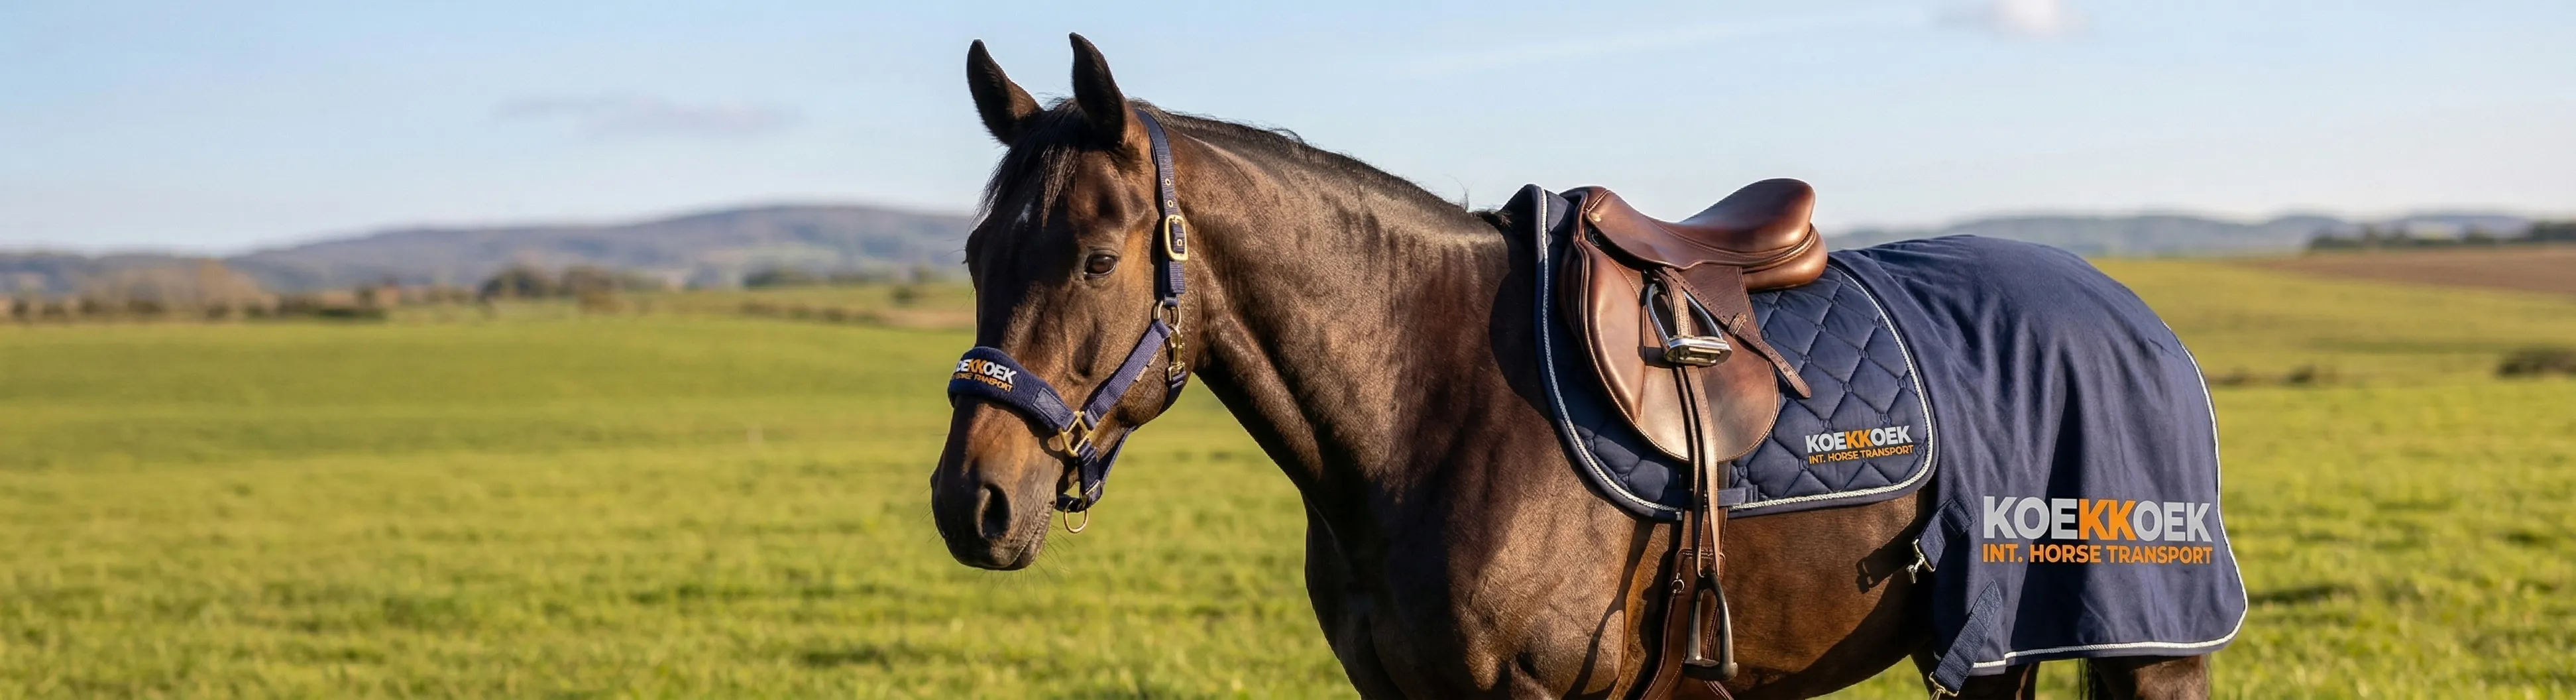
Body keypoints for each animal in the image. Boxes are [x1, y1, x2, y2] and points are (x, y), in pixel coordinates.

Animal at [928, 34, 2215, 699]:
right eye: (978, 253)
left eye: (1097, 258)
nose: (970, 501)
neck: (1422, 408)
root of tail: (2142, 321)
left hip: (2149, 648)